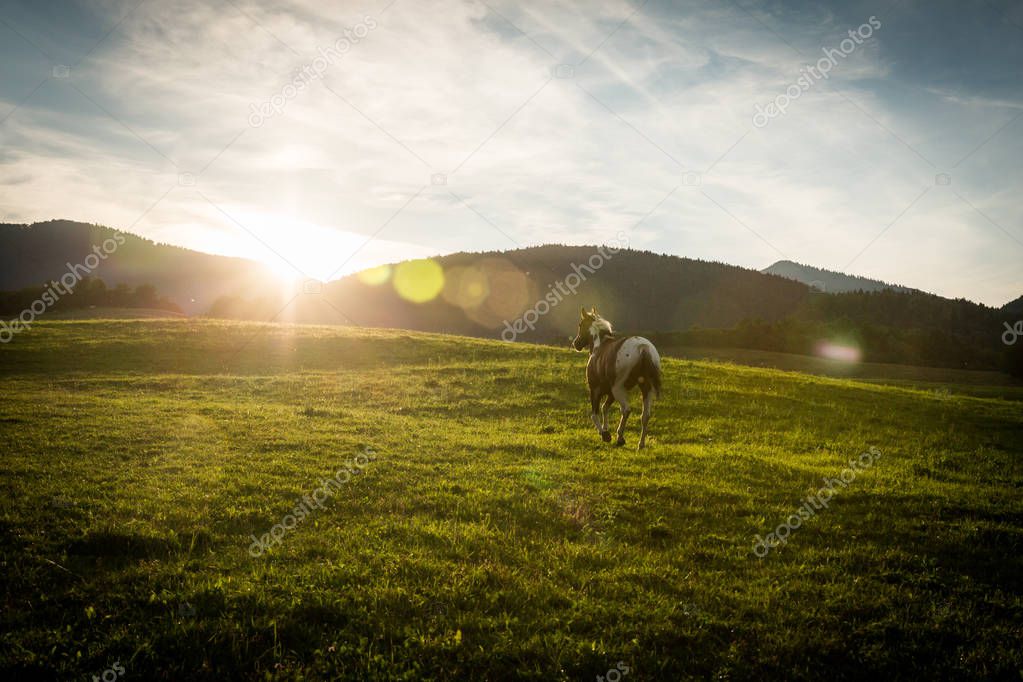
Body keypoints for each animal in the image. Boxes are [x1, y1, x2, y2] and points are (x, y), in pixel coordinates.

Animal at [568, 308, 662, 447]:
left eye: (580, 325)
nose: (576, 344)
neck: (599, 346)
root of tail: (642, 348)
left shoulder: (595, 390)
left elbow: (594, 414)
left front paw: (605, 434)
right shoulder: (610, 393)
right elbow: (604, 408)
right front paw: (605, 429)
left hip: (618, 389)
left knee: (626, 409)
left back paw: (620, 438)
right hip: (645, 388)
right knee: (645, 415)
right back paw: (641, 444)